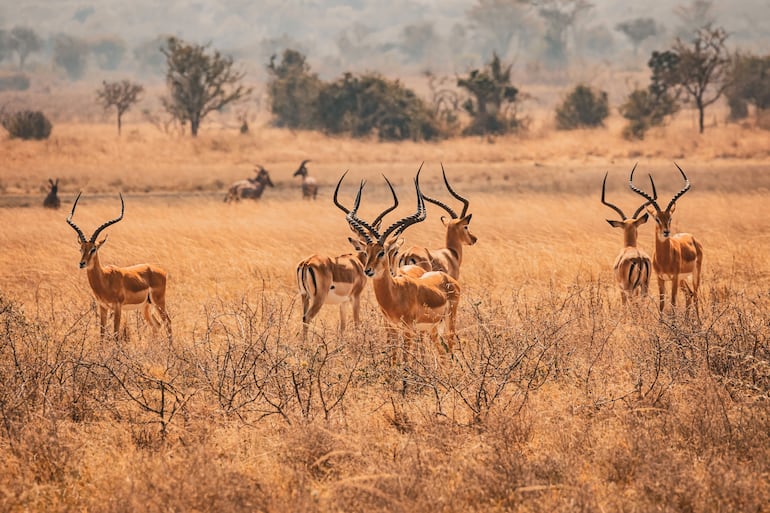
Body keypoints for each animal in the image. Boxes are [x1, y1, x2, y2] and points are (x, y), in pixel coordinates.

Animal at [66, 193, 172, 341]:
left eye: (93, 249)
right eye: (81, 249)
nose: (82, 263)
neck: (105, 279)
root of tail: (160, 271)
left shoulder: (117, 307)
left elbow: (116, 334)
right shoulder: (103, 307)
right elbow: (102, 334)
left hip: (159, 302)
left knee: (168, 322)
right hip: (145, 306)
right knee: (156, 325)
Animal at [338, 171, 461, 356]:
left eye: (382, 252)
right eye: (366, 252)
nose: (368, 271)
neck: (396, 293)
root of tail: (446, 278)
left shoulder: (408, 329)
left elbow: (405, 358)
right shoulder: (392, 328)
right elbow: (394, 357)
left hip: (449, 321)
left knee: (450, 347)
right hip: (432, 328)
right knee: (442, 352)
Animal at [629, 163, 704, 319]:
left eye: (670, 218)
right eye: (657, 218)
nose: (666, 232)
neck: (664, 258)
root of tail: (692, 238)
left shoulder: (674, 278)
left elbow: (673, 302)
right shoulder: (661, 278)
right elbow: (662, 303)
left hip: (695, 274)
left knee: (695, 295)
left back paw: (699, 322)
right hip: (682, 279)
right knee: (689, 294)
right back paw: (687, 321)